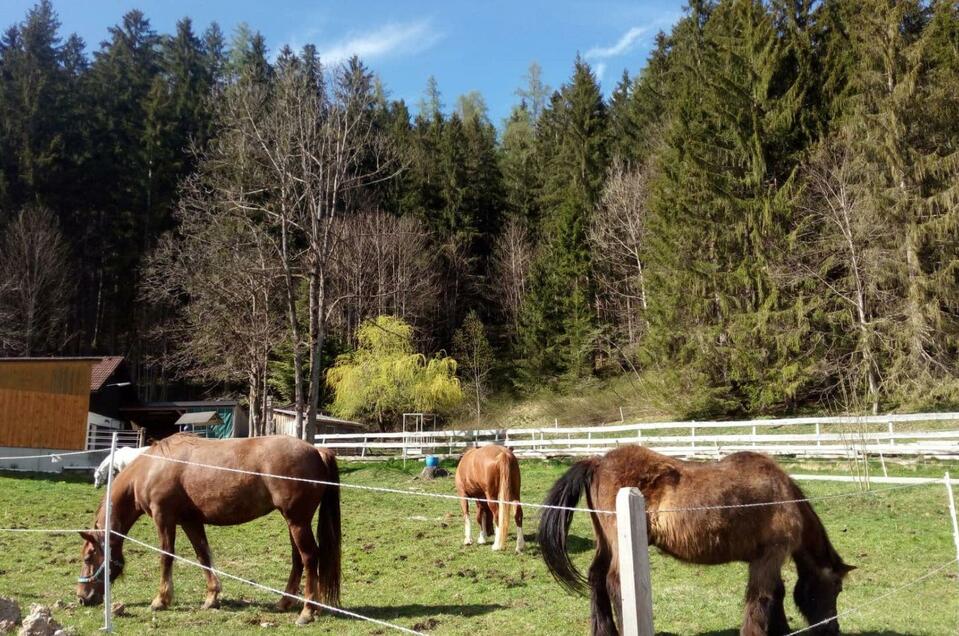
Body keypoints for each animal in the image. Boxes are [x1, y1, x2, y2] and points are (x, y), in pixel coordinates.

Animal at [78, 434, 342, 624]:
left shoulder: (164, 518)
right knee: (297, 559)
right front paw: (212, 597)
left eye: (89, 556)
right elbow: (203, 556)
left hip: (297, 521)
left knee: (309, 557)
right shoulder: (190, 521)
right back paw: (284, 603)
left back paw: (307, 611)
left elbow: (166, 557)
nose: (82, 597)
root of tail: (317, 450)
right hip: (293, 522)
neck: (154, 466)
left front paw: (161, 600)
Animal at [540, 448, 856, 636]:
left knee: (596, 578)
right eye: (836, 588)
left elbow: (774, 595)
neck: (782, 494)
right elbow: (764, 598)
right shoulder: (769, 557)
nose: (833, 629)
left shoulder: (766, 560)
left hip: (605, 543)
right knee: (614, 582)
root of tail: (598, 461)